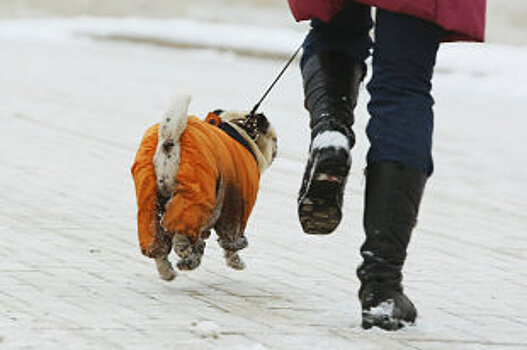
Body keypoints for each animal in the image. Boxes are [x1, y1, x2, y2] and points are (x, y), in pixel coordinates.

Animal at [131, 94, 278, 280]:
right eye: (275, 140)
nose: (276, 149)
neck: (241, 130)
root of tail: (169, 141)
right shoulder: (235, 209)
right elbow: (231, 242)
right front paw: (236, 262)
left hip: (151, 200)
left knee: (157, 242)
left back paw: (169, 271)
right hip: (195, 197)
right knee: (180, 236)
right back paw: (187, 255)